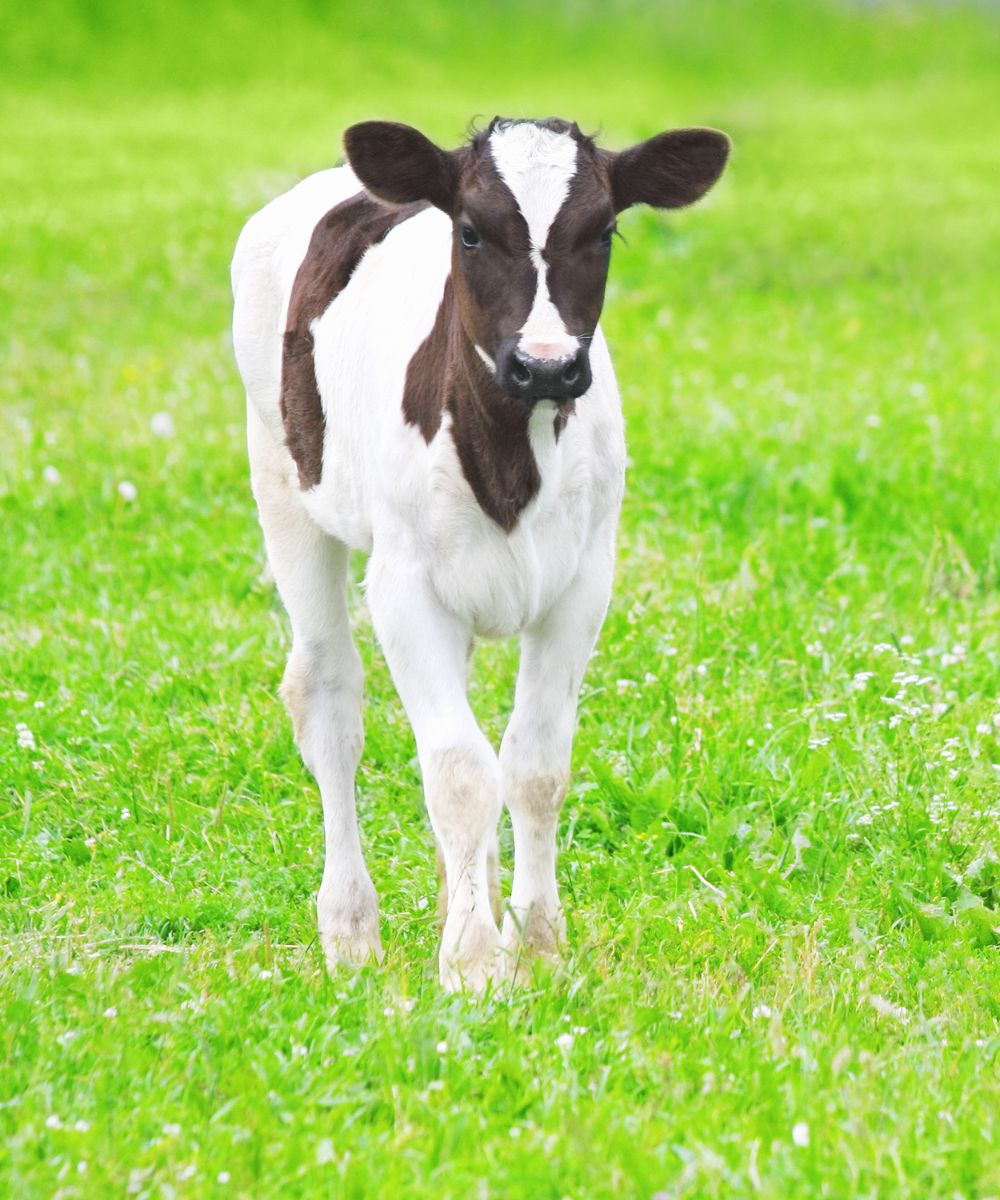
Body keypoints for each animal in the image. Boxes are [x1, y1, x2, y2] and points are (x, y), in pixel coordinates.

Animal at [231, 114, 729, 993]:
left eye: (604, 231)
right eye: (469, 231)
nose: (546, 365)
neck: (509, 455)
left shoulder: (584, 582)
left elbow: (533, 764)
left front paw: (534, 945)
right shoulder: (403, 587)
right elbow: (461, 770)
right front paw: (470, 964)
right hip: (282, 483)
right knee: (327, 697)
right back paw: (351, 932)